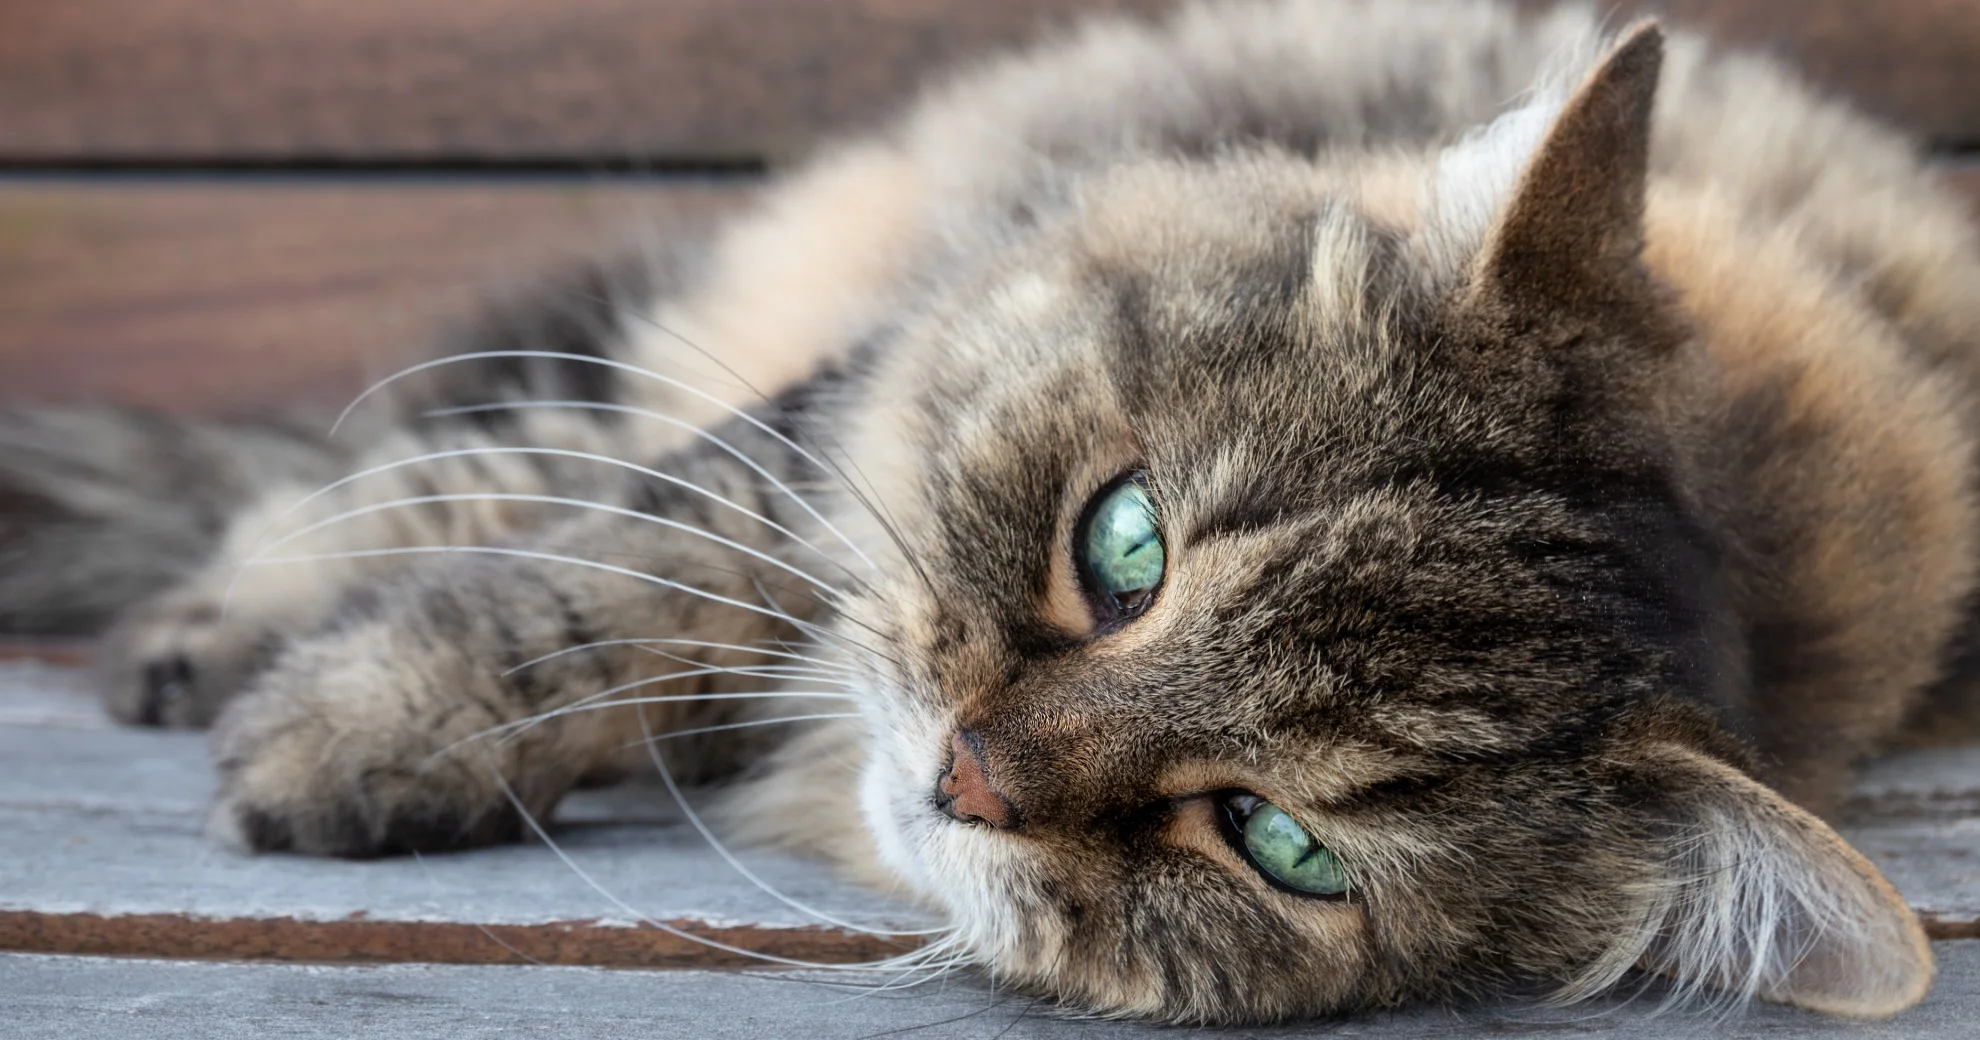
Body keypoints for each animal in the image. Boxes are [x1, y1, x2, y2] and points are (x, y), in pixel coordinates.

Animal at [3, 0, 1980, 1022]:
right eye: (1127, 548)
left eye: (1276, 841)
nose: (964, 775)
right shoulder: (804, 450)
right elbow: (578, 604)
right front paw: (344, 737)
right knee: (426, 475)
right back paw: (210, 634)